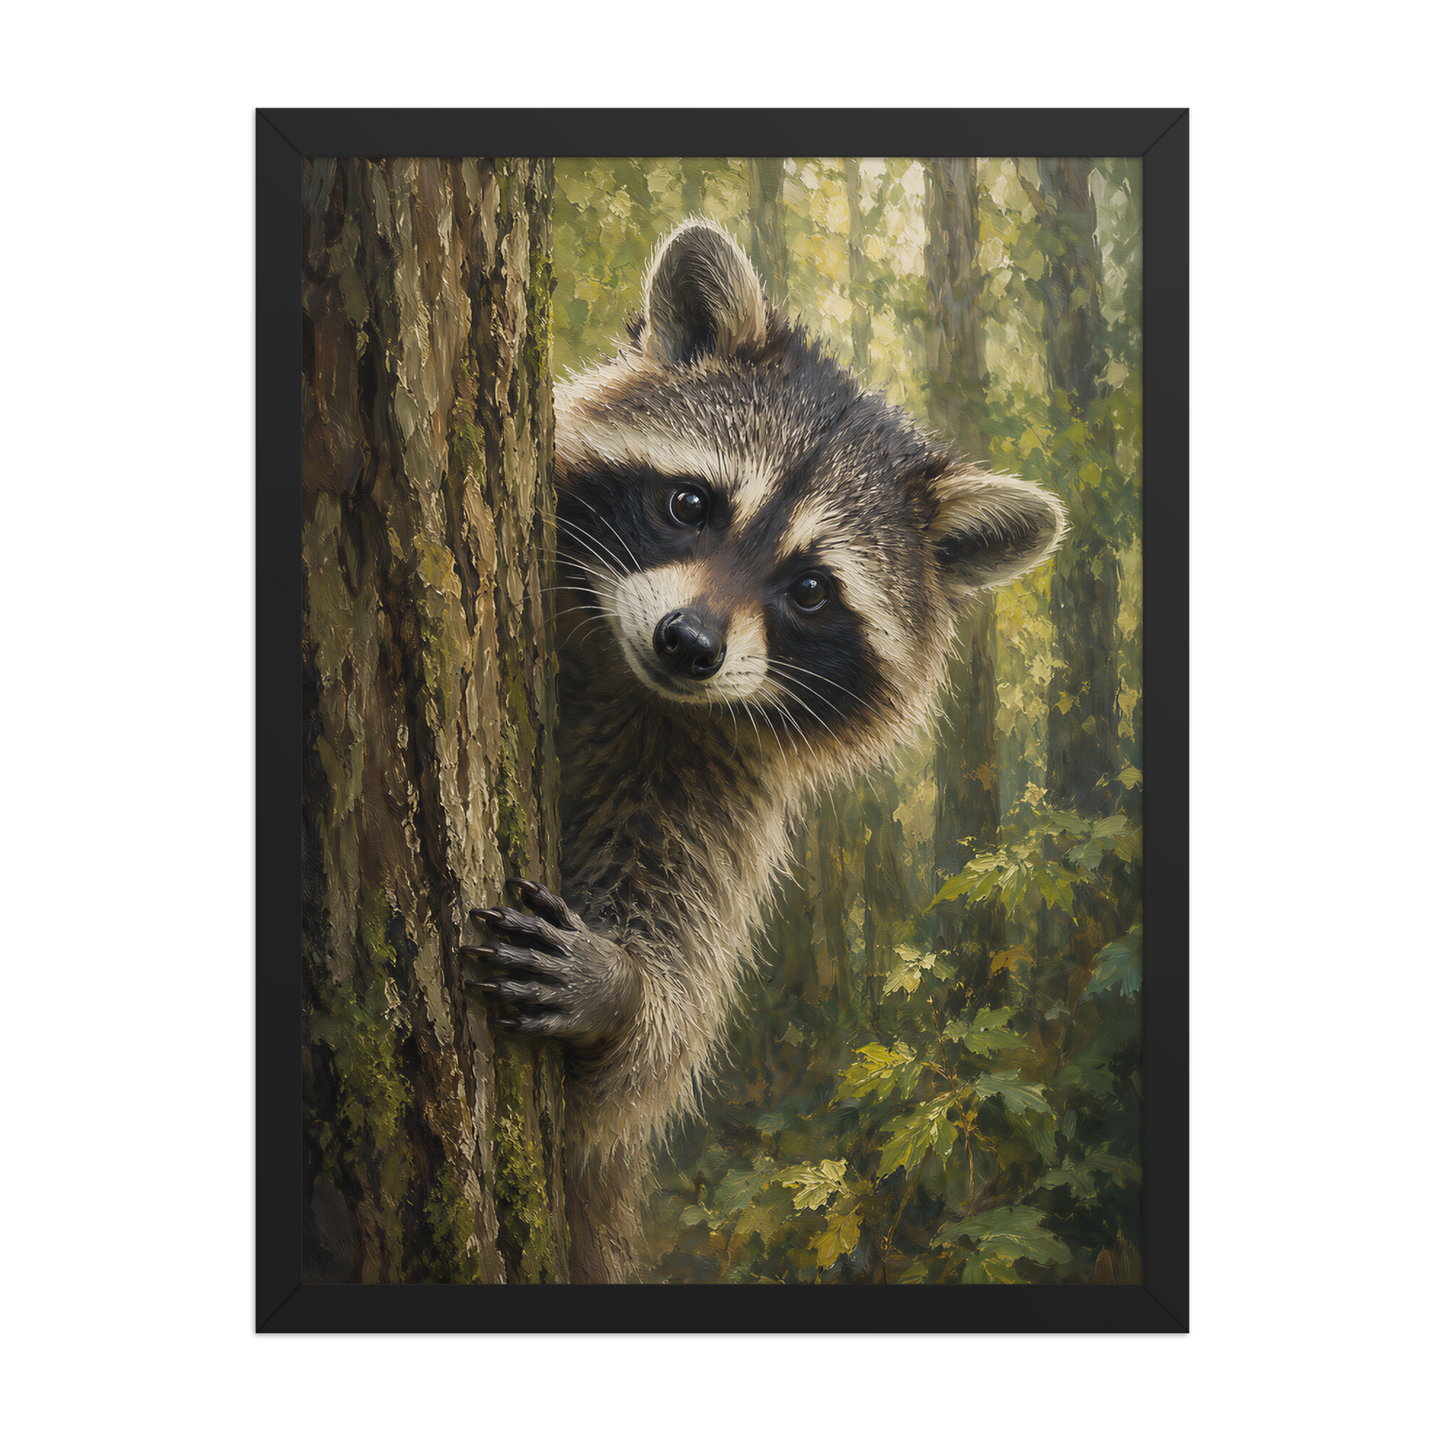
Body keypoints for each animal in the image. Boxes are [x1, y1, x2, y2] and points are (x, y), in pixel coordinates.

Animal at [462, 217, 1065, 1283]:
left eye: (812, 590)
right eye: (690, 504)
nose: (688, 645)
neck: (631, 681)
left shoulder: (713, 788)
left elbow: (644, 1058)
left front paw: (625, 991)